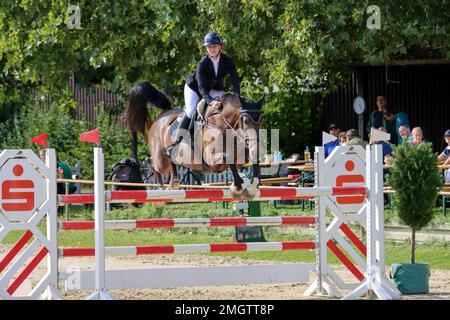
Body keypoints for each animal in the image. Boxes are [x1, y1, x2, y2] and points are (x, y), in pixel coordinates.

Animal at [123, 80, 264, 198]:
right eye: (245, 121)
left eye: (260, 121)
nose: (256, 144)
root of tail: (163, 114)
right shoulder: (212, 160)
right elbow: (227, 157)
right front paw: (237, 188)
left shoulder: (241, 158)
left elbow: (252, 162)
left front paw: (251, 188)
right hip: (160, 160)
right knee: (154, 165)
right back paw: (161, 187)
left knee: (170, 162)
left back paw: (173, 181)